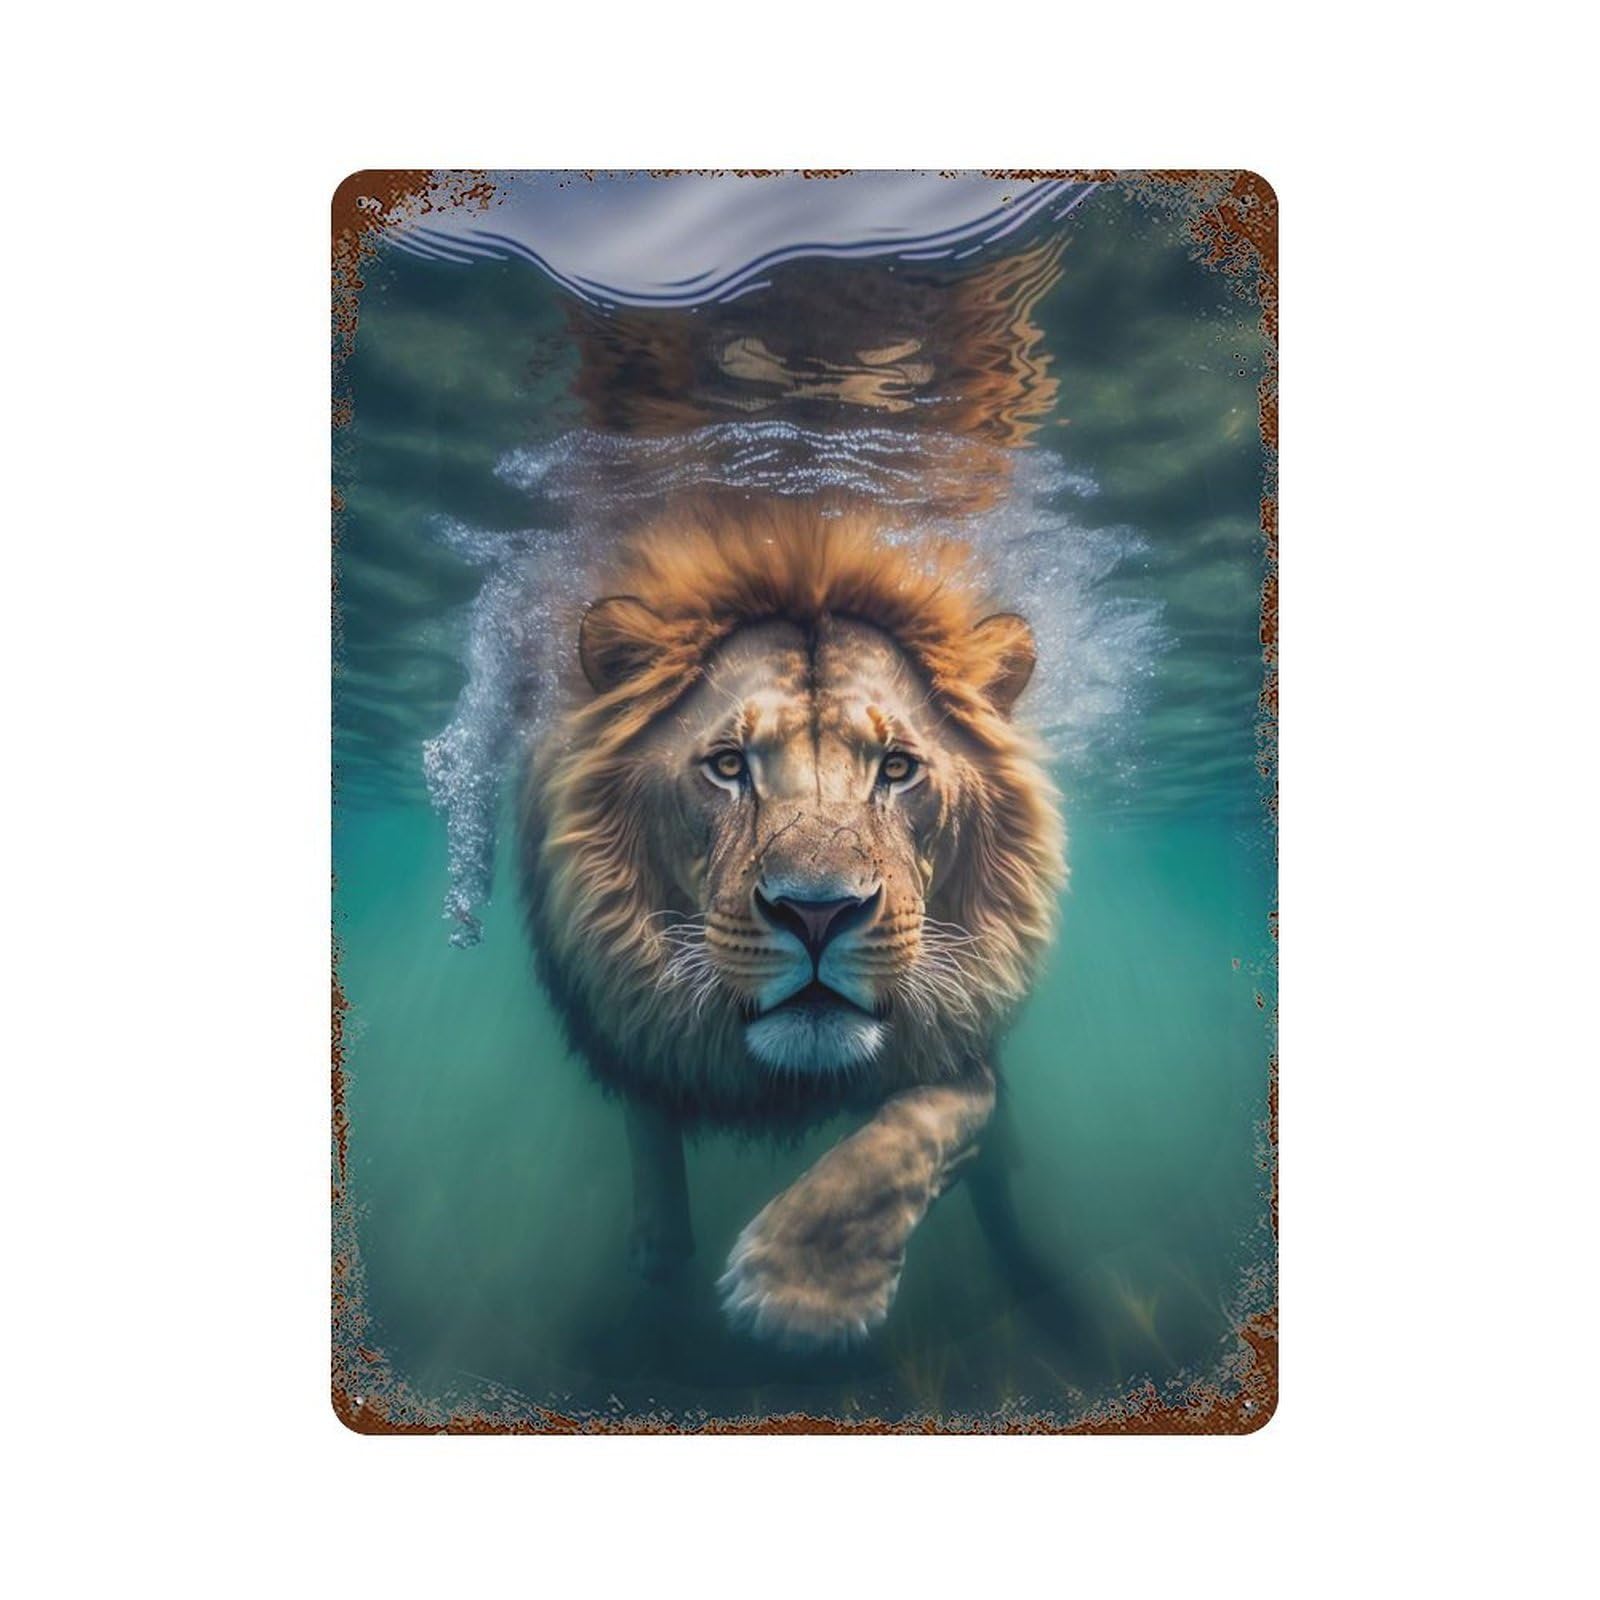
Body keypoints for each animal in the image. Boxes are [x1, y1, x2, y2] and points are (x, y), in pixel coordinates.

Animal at [517, 491, 1066, 1348]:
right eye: (728, 765)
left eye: (897, 768)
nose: (818, 912)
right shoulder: (619, 1002)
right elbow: (648, 1101)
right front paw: (658, 1246)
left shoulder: (962, 1042)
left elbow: (920, 1126)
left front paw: (803, 1286)